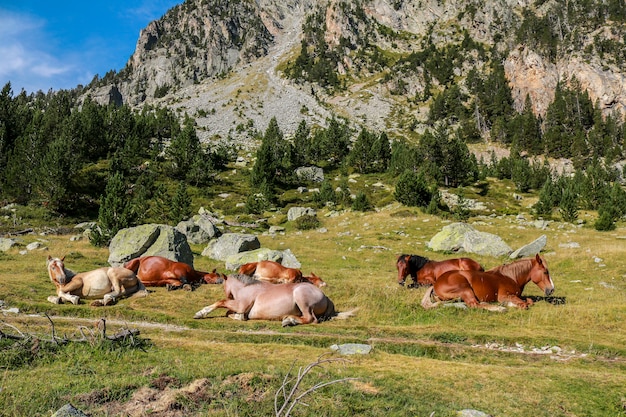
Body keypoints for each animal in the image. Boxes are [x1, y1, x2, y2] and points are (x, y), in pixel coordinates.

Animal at [193, 274, 354, 326]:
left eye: (224, 286)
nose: (229, 295)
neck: (246, 287)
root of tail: (325, 296)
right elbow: (229, 313)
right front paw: (239, 317)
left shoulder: (240, 305)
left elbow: (221, 303)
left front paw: (200, 313)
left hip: (301, 297)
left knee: (311, 319)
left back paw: (289, 321)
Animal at [420, 252, 552, 310]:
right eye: (545, 272)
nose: (551, 289)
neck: (511, 277)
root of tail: (436, 284)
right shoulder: (504, 296)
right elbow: (524, 304)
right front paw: (508, 305)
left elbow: (528, 301)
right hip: (465, 289)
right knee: (474, 305)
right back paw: (498, 308)